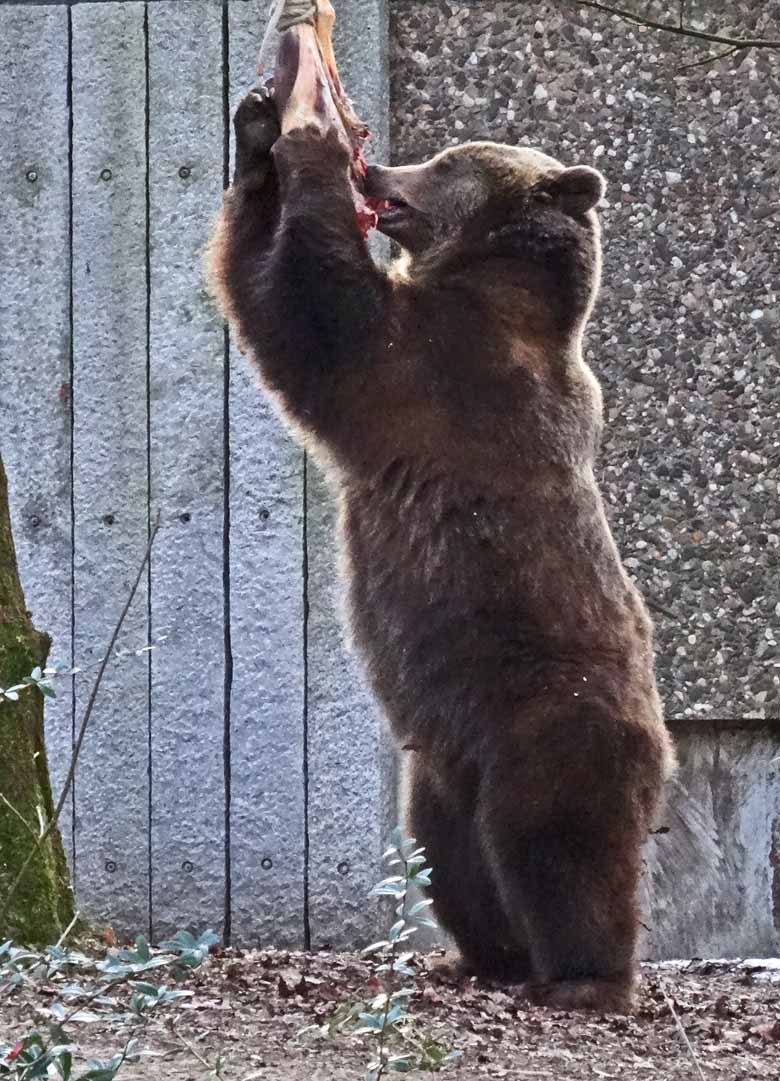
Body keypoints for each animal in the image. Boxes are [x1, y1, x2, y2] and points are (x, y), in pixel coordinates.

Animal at [208, 86, 674, 1011]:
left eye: (450, 160)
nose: (382, 169)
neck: (491, 279)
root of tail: (665, 745)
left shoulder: (438, 367)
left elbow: (312, 313)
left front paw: (310, 147)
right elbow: (267, 283)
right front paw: (259, 126)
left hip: (549, 721)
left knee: (561, 848)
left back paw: (584, 977)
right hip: (442, 764)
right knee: (449, 855)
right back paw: (482, 956)